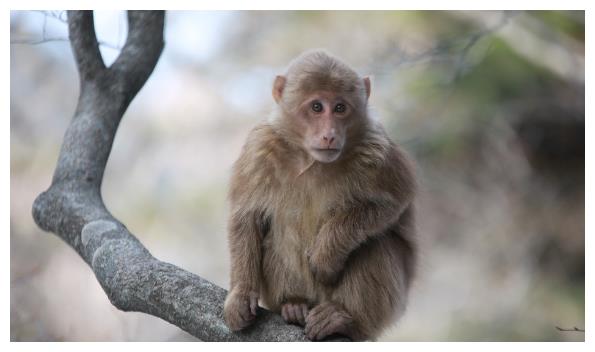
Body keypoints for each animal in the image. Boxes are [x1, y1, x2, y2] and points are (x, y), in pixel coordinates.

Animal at [225, 50, 420, 340]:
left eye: (340, 108)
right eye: (317, 107)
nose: (329, 135)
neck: (311, 160)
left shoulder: (377, 150)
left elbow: (392, 202)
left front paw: (325, 255)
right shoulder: (259, 149)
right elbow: (246, 217)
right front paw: (240, 293)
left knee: (376, 243)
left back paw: (345, 319)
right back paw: (294, 304)